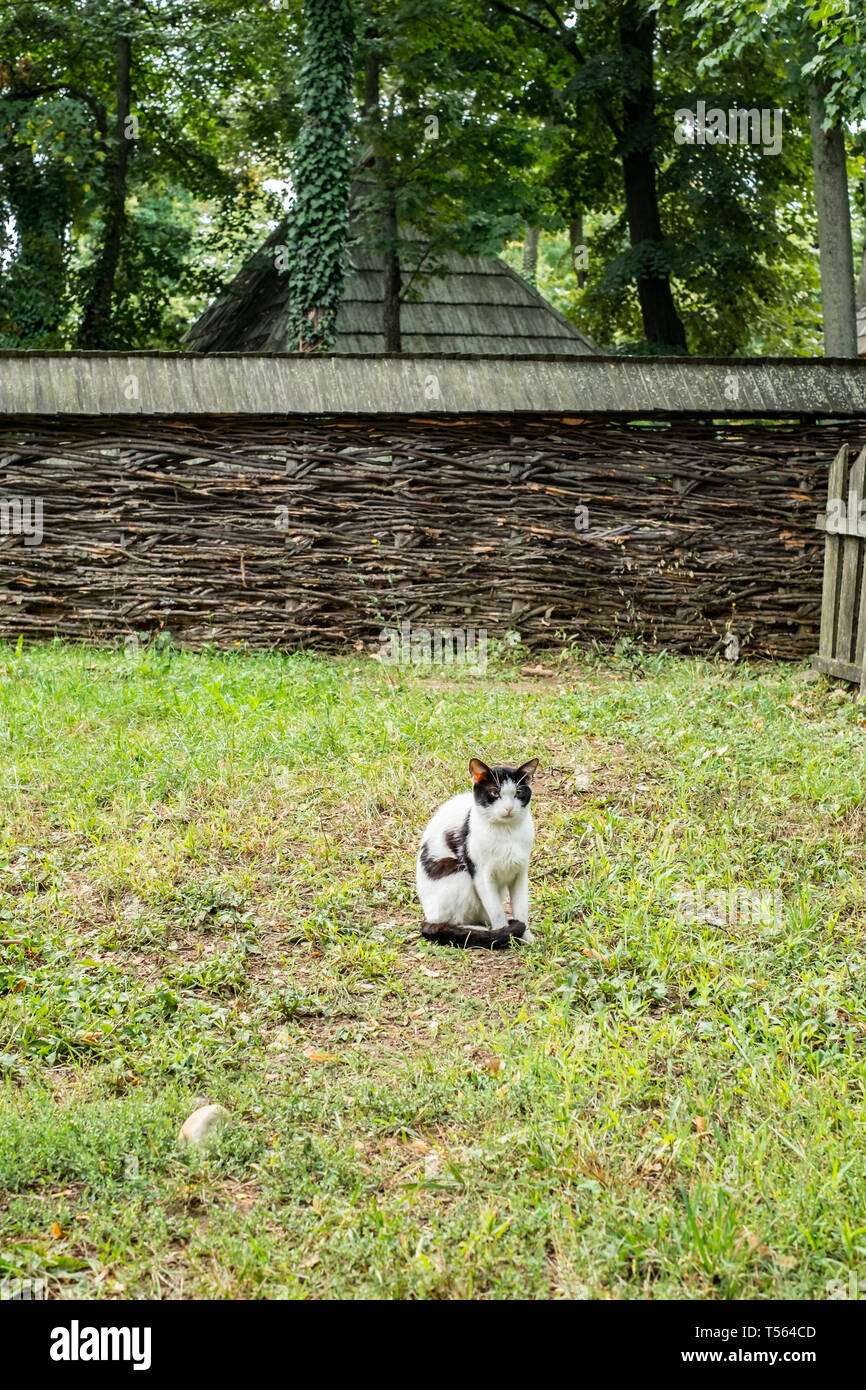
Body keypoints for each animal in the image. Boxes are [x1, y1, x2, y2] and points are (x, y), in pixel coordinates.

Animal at [417, 756, 539, 950]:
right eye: (495, 793)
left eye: (519, 793)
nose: (508, 808)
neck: (506, 833)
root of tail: (428, 915)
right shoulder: (481, 874)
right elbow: (496, 911)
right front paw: (503, 935)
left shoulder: (520, 871)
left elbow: (521, 907)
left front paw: (525, 936)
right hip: (457, 872)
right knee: (450, 921)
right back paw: (480, 930)